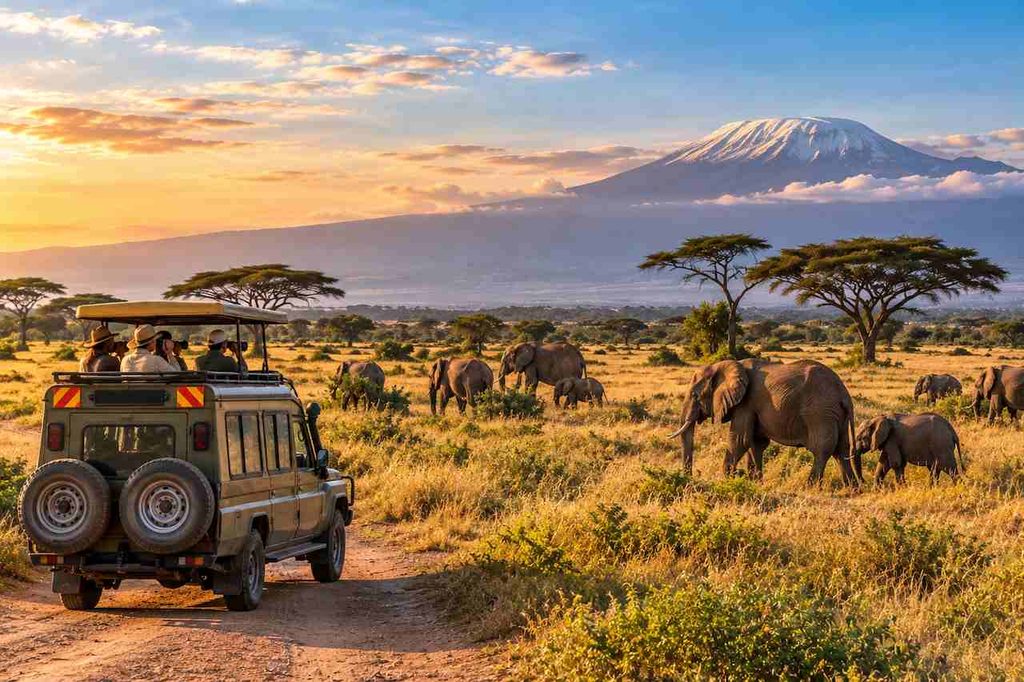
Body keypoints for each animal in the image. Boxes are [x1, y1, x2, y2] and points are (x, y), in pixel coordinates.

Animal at [668, 359, 861, 486]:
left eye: (695, 395)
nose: (689, 478)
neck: (723, 365)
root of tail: (844, 394)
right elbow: (756, 443)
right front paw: (754, 482)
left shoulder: (746, 403)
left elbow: (740, 440)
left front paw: (728, 479)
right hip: (837, 415)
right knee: (842, 450)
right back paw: (852, 488)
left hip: (820, 412)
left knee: (822, 449)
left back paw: (810, 486)